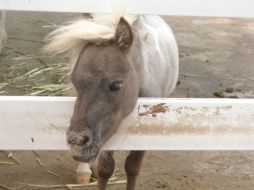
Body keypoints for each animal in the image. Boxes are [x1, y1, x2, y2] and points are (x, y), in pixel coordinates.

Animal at [46, 13, 180, 190]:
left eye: (116, 84)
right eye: (74, 81)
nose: (77, 141)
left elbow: (132, 167)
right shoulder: (109, 129)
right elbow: (106, 169)